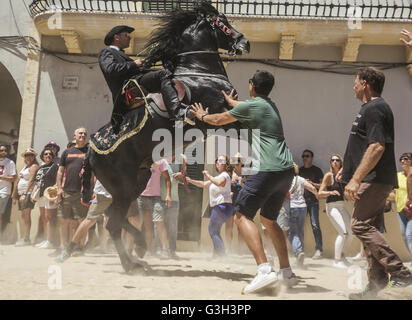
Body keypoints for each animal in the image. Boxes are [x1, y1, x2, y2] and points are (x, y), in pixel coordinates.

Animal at [85, 1, 249, 272]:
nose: (244, 42)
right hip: (124, 186)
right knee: (113, 223)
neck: (197, 71)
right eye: (223, 22)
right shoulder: (222, 114)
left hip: (134, 184)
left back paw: (139, 252)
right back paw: (131, 263)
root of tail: (89, 150)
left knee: (113, 219)